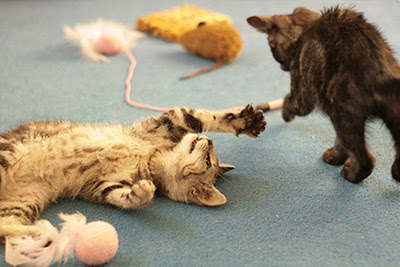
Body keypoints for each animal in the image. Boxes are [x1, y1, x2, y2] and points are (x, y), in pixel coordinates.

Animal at [0, 104, 268, 239]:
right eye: (211, 159)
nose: (209, 142)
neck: (149, 161)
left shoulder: (105, 184)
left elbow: (120, 196)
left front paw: (141, 194)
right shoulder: (172, 121)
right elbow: (205, 116)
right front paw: (244, 120)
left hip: (22, 202)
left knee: (5, 227)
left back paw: (41, 234)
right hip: (5, 157)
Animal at [247, 6, 400, 184]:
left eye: (272, 48)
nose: (282, 67)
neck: (307, 28)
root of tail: (380, 72)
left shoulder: (301, 92)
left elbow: (289, 100)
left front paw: (286, 114)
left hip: (342, 115)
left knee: (365, 159)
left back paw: (349, 173)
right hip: (392, 115)